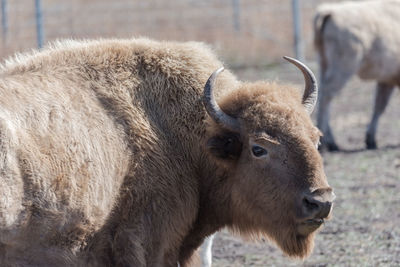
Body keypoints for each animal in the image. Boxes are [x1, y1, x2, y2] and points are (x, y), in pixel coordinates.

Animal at [314, 0, 398, 152]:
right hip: (343, 66)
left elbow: (379, 106)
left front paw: (371, 139)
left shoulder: (387, 79)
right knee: (327, 95)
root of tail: (329, 11)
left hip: (324, 63)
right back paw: (326, 142)